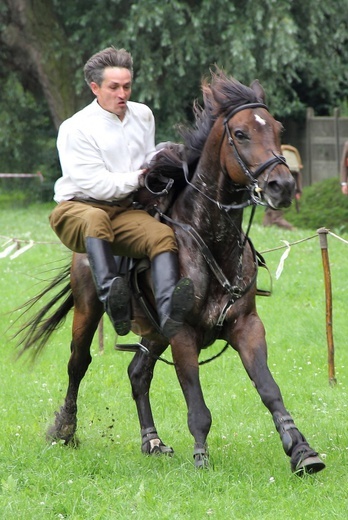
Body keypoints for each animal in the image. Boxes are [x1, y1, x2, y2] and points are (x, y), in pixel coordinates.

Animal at [17, 71, 326, 478]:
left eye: (276, 129)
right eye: (240, 133)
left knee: (137, 372)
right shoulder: (182, 333)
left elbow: (269, 388)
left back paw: (151, 440)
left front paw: (302, 450)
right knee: (78, 364)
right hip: (90, 311)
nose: (283, 185)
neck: (211, 242)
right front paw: (202, 457)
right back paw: (65, 430)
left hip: (153, 332)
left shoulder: (245, 326)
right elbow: (197, 404)